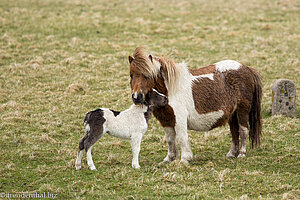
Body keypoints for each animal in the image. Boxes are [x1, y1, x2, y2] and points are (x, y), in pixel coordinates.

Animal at [127, 47, 262, 164]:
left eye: (147, 76)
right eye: (131, 75)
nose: (137, 97)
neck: (170, 89)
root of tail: (247, 68)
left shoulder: (179, 120)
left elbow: (181, 138)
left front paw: (184, 159)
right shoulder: (166, 120)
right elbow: (170, 139)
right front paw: (169, 159)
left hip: (242, 111)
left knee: (243, 130)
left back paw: (241, 154)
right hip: (232, 114)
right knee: (234, 131)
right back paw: (231, 154)